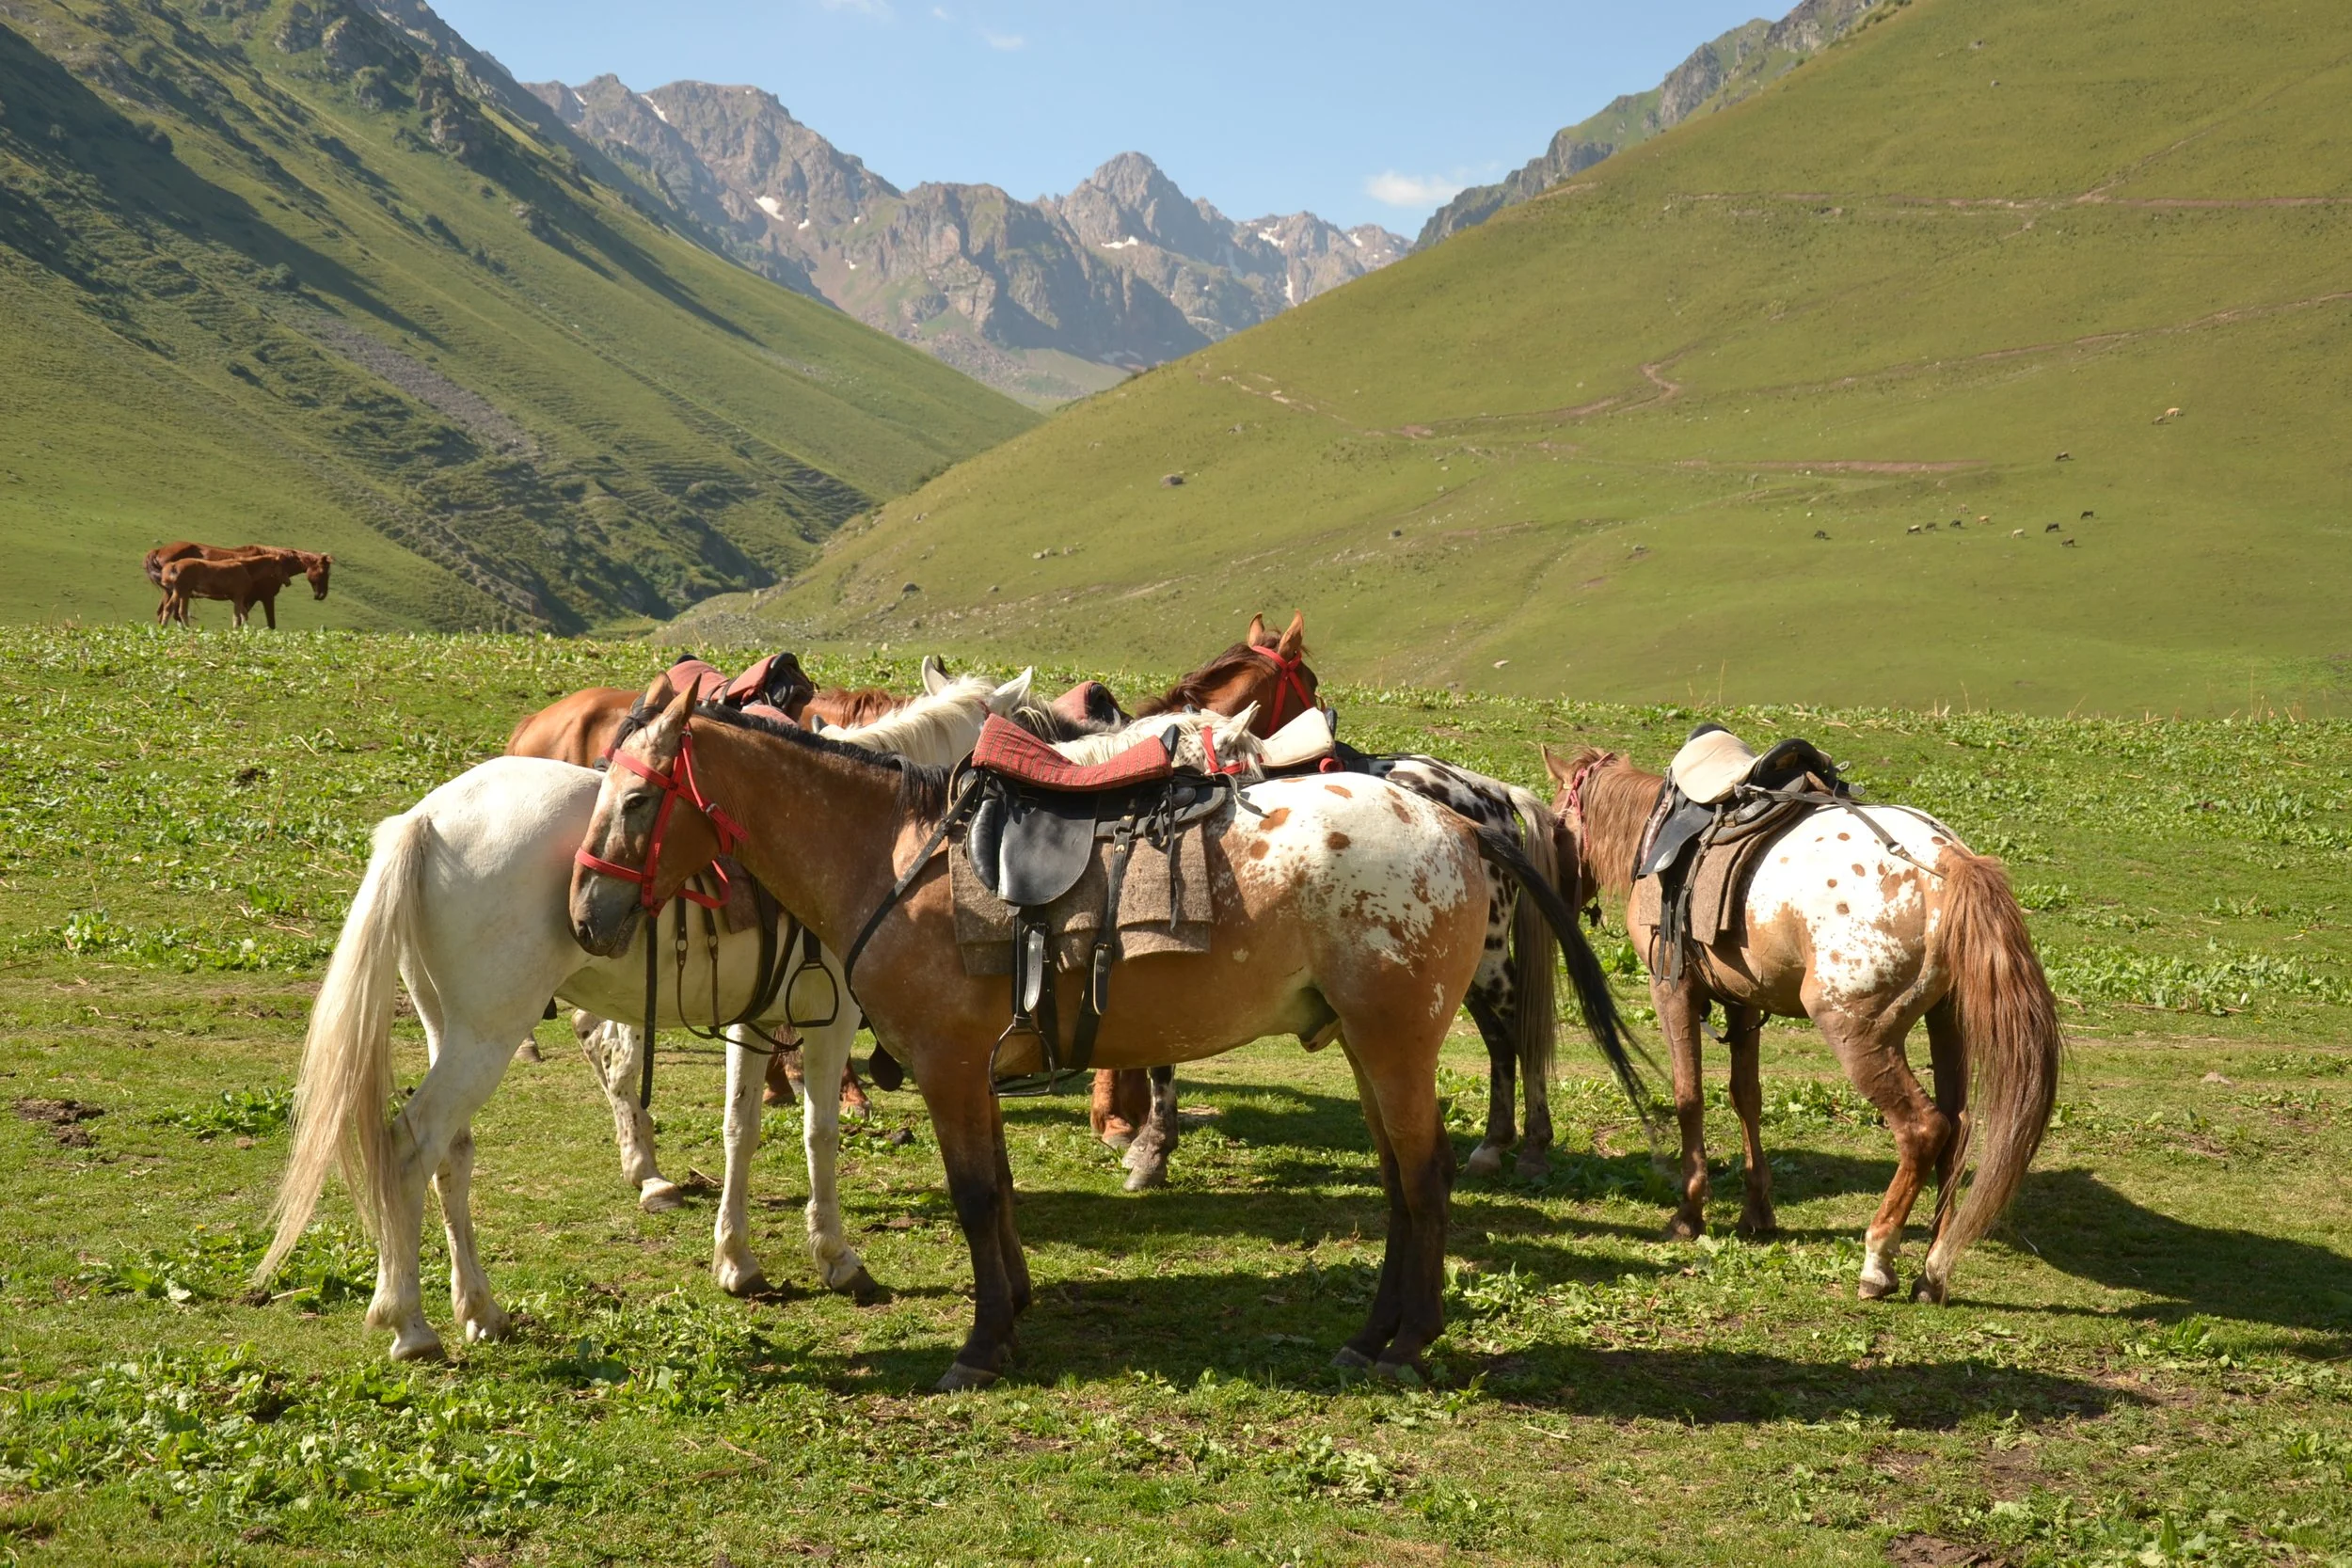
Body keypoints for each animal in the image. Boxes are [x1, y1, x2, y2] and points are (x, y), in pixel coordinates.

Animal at [543, 681, 1646, 1389]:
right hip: (1374, 1045)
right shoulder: (969, 1069)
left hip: (1396, 1040)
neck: (892, 855)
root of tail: (1458, 820)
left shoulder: (947, 1064)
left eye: (634, 796)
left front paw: (981, 1343)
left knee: (1423, 1177)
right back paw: (1371, 1335)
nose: (587, 915)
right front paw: (1016, 1306)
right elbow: (997, 1190)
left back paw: (1408, 1341)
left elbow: (973, 1193)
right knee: (1398, 1183)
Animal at [1541, 745, 2062, 1304]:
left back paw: (1878, 1260)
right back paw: (1933, 1271)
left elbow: (1688, 1096)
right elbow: (1745, 1096)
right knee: (1959, 1129)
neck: (1656, 834)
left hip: (1858, 1034)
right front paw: (1756, 1212)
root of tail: (1947, 861)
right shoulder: (1743, 1001)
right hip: (1947, 1023)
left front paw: (1688, 1214)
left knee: (1924, 1129)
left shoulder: (1673, 990)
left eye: (1555, 823)